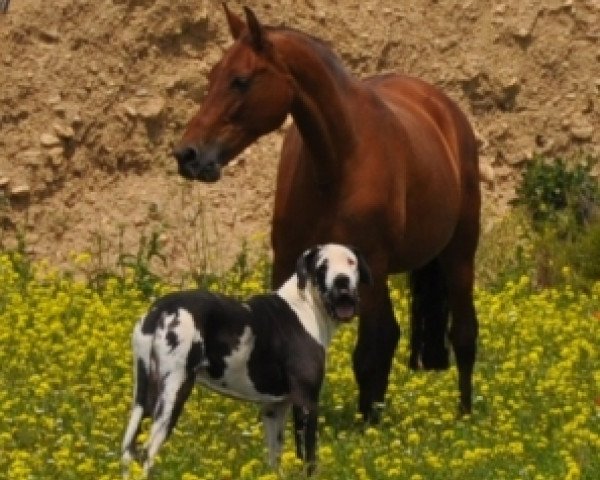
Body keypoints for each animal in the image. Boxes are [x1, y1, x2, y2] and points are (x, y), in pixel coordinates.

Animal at [120, 244, 372, 476]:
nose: (342, 281)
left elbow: (274, 459)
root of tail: (161, 309)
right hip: (174, 393)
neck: (306, 306)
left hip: (145, 397)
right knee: (145, 454)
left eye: (351, 262)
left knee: (128, 453)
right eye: (322, 266)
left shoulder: (274, 408)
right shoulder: (306, 402)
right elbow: (308, 459)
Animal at [171, 5, 480, 422]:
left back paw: (462, 415)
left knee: (461, 333)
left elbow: (370, 350)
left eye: (240, 80)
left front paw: (367, 426)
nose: (187, 154)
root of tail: (443, 109)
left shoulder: (369, 265)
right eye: (212, 77)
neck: (338, 159)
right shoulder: (287, 259)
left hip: (458, 256)